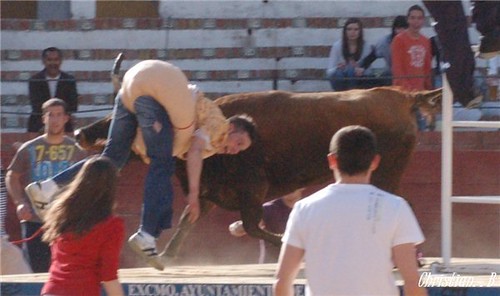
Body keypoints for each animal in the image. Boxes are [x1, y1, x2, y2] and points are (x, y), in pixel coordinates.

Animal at [75, 86, 442, 262]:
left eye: (118, 118)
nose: (80, 132)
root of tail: (401, 96)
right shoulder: (209, 192)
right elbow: (186, 221)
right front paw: (167, 254)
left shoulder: (251, 188)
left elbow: (252, 226)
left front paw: (286, 244)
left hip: (388, 172)